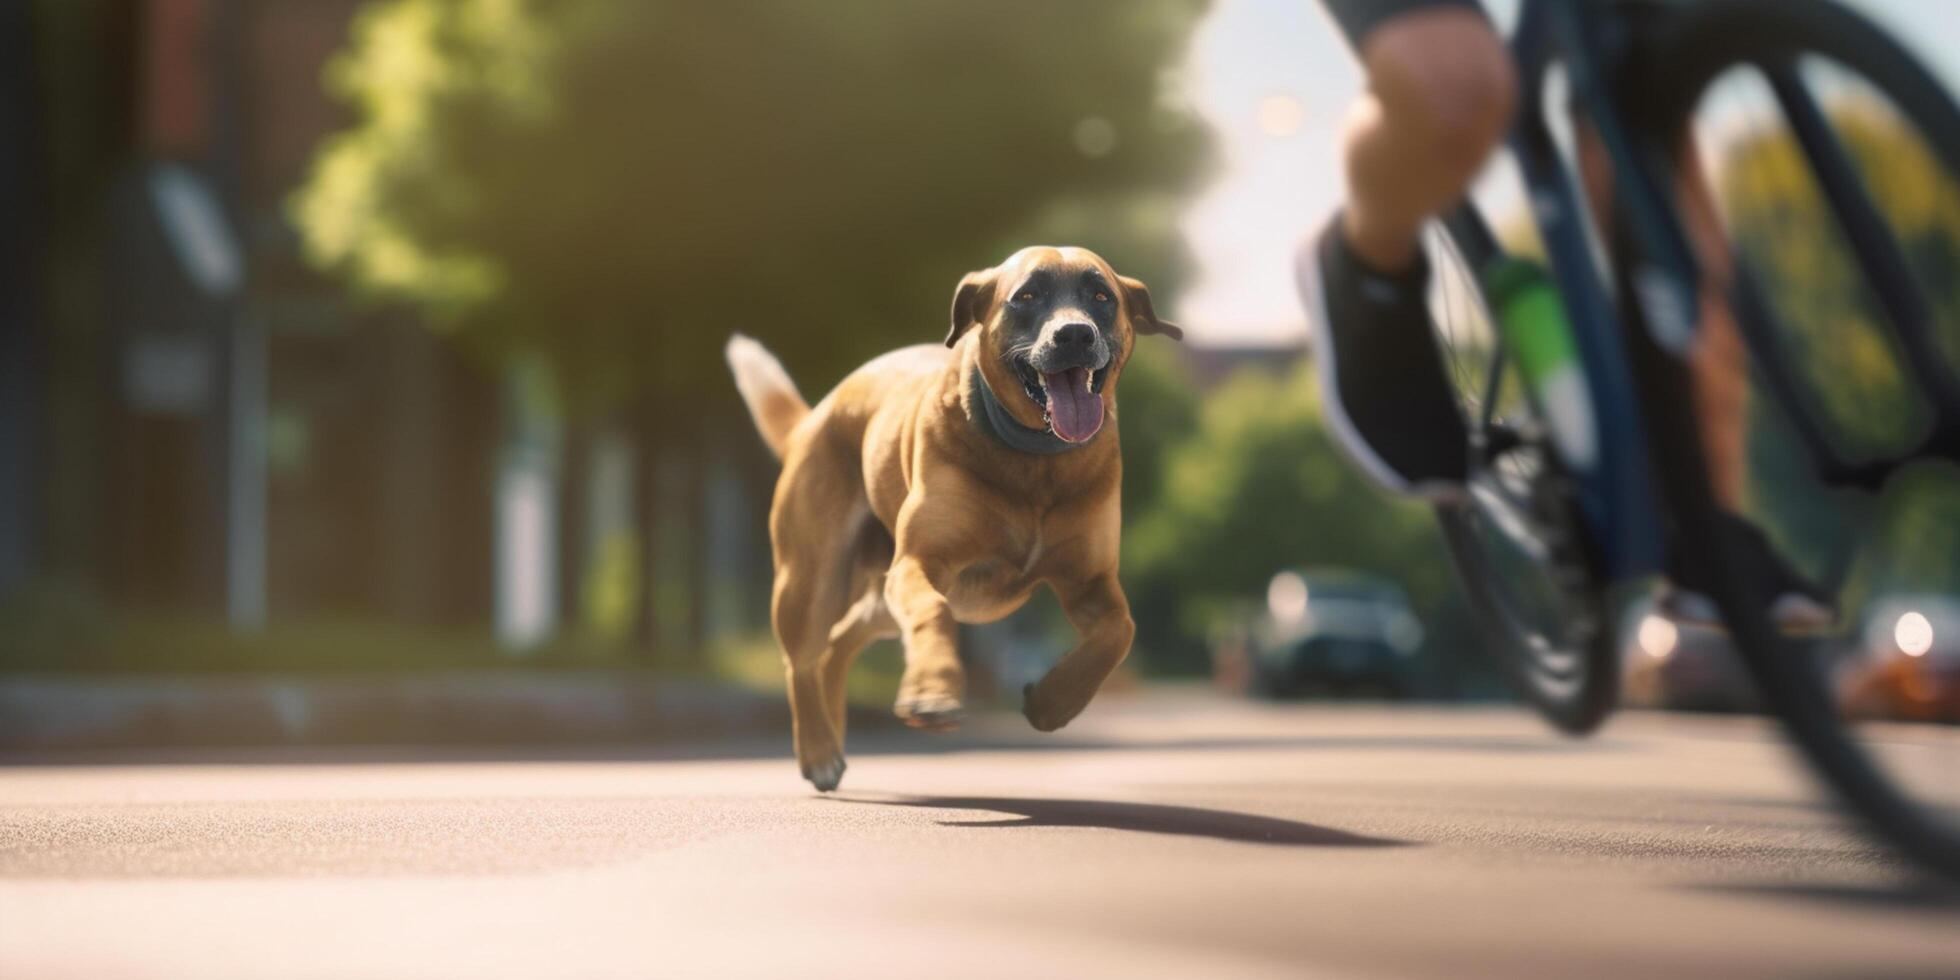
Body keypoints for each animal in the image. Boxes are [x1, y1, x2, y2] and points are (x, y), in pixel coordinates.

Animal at [721, 245, 1176, 787]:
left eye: (1102, 296)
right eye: (1027, 295)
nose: (1074, 334)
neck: (1036, 458)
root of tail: (814, 417)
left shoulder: (1090, 580)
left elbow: (1119, 631)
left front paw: (1052, 703)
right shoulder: (920, 562)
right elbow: (933, 612)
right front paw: (932, 694)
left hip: (879, 595)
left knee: (837, 644)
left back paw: (833, 731)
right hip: (813, 578)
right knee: (803, 660)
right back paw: (818, 751)